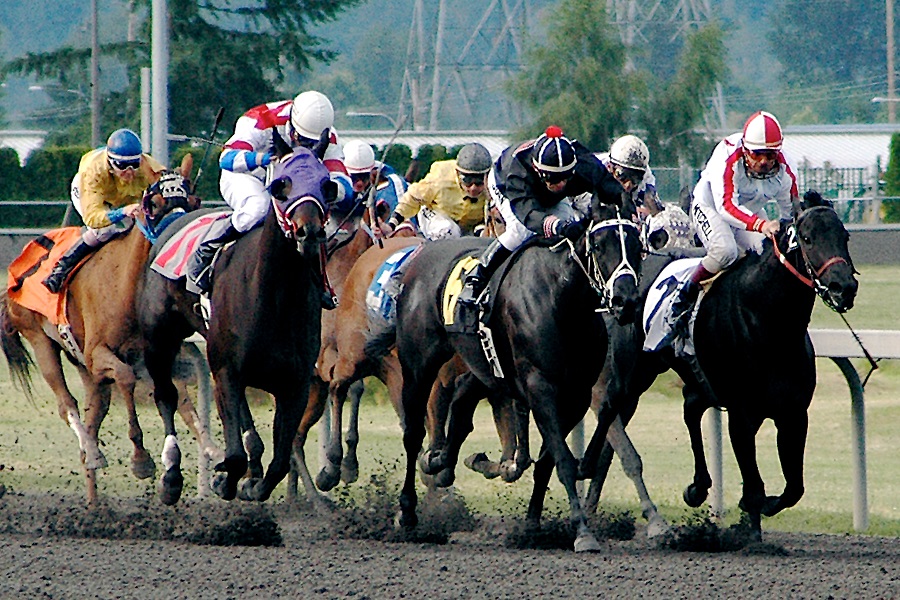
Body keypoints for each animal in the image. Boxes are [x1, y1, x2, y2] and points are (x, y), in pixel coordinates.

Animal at [0, 156, 218, 506]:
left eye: (194, 202)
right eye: (154, 204)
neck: (127, 287)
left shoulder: (157, 352)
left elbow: (183, 397)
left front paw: (212, 449)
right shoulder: (100, 353)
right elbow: (128, 379)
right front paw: (141, 460)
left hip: (86, 370)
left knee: (94, 416)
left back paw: (94, 500)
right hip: (41, 341)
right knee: (67, 405)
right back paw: (93, 453)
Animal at [135, 148, 328, 504]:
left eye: (328, 185)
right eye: (281, 184)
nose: (308, 232)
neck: (275, 294)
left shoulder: (296, 382)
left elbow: (280, 461)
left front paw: (252, 481)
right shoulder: (226, 368)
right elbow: (235, 454)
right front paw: (223, 479)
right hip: (158, 338)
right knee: (166, 395)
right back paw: (171, 475)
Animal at [398, 202, 644, 552]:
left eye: (638, 246)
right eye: (598, 246)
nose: (627, 301)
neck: (564, 300)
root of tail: (420, 255)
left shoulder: (576, 394)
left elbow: (549, 461)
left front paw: (531, 525)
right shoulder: (540, 388)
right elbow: (563, 460)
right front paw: (582, 531)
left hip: (483, 368)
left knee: (461, 403)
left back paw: (444, 464)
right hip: (418, 364)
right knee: (413, 432)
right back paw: (408, 510)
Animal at [580, 191, 856, 540]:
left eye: (844, 237)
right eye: (807, 239)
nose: (843, 288)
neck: (768, 321)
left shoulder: (793, 413)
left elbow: (794, 487)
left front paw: (761, 508)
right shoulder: (742, 413)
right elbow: (754, 485)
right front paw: (752, 534)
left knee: (690, 406)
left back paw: (696, 487)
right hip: (634, 370)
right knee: (610, 404)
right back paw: (586, 464)